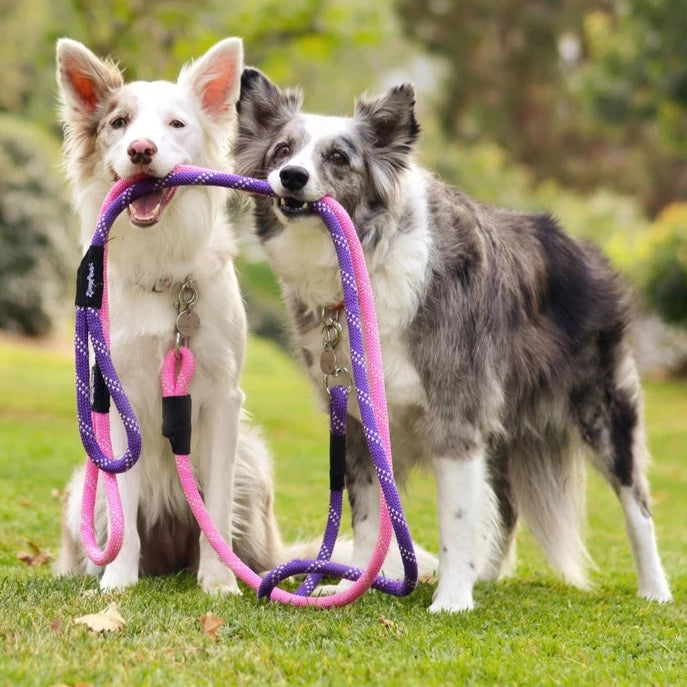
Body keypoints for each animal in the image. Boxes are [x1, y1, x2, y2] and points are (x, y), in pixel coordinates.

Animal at [235, 67, 672, 612]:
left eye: (338, 157)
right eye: (282, 150)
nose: (292, 176)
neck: (363, 269)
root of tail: (584, 249)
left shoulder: (455, 417)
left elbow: (457, 519)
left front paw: (452, 599)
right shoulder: (359, 424)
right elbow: (367, 518)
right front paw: (353, 584)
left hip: (604, 411)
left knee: (638, 504)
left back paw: (654, 589)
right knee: (507, 507)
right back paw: (488, 574)